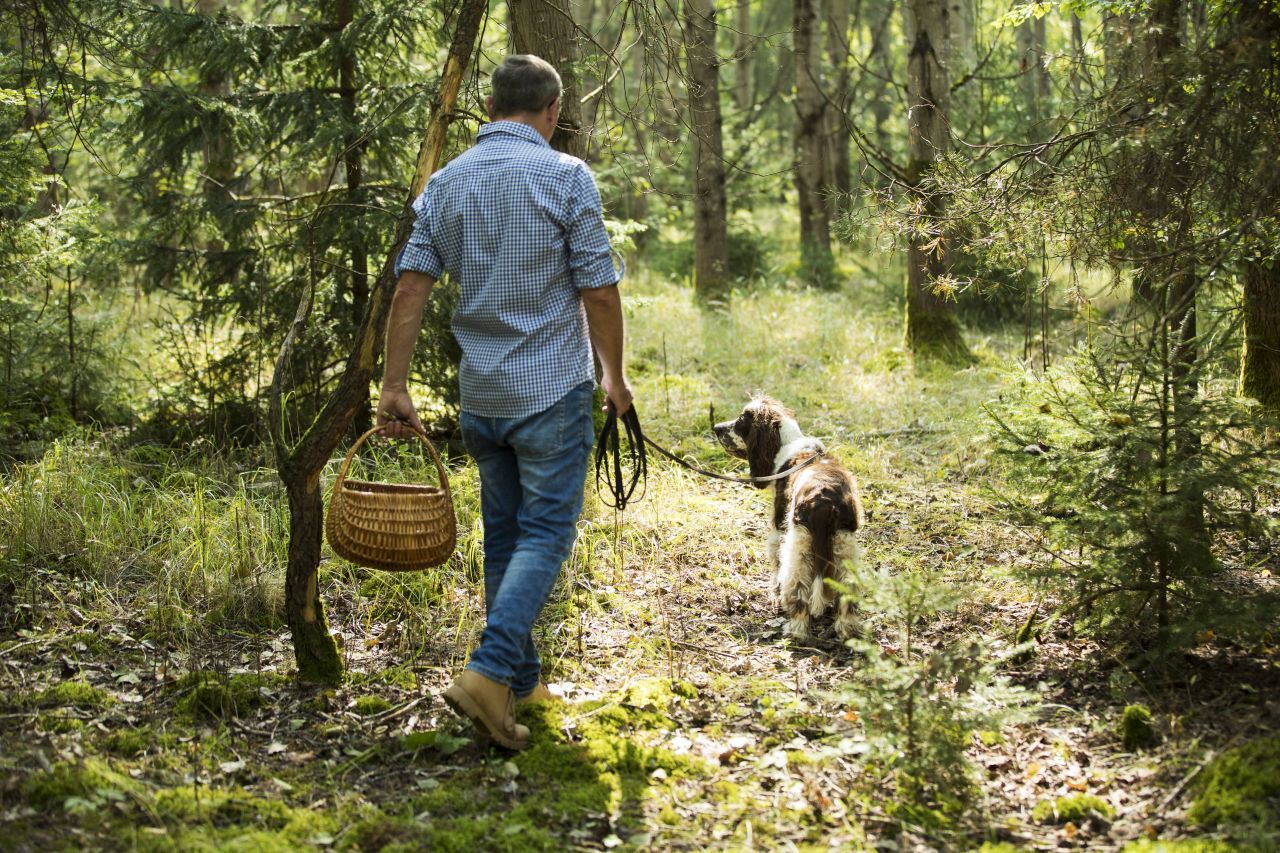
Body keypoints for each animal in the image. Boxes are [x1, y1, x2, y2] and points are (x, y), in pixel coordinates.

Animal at [716, 394, 865, 637]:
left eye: (740, 421)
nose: (716, 427)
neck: (788, 446)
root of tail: (824, 502)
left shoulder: (778, 530)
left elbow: (775, 567)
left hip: (798, 548)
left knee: (798, 592)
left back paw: (796, 630)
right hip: (844, 548)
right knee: (845, 598)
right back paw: (846, 631)